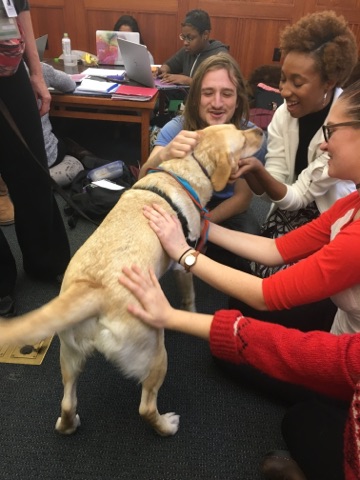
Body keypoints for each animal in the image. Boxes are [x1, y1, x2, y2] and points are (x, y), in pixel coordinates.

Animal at [0, 124, 262, 438]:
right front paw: (190, 312)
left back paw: (68, 424)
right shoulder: (182, 264)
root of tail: (93, 289)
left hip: (69, 354)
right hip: (154, 354)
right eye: (242, 136)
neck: (187, 168)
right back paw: (166, 426)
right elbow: (189, 296)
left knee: (66, 403)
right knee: (146, 407)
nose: (260, 130)